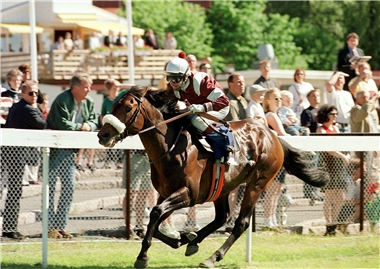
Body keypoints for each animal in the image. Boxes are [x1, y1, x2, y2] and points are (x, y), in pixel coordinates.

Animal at [98, 85, 330, 266]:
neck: (171, 147)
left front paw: (143, 257)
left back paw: (212, 257)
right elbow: (155, 219)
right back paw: (193, 241)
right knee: (222, 217)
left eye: (128, 108)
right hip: (223, 187)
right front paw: (179, 239)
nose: (103, 135)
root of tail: (271, 134)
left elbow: (155, 214)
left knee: (241, 222)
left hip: (258, 183)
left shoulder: (188, 193)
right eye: (113, 106)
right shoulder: (166, 193)